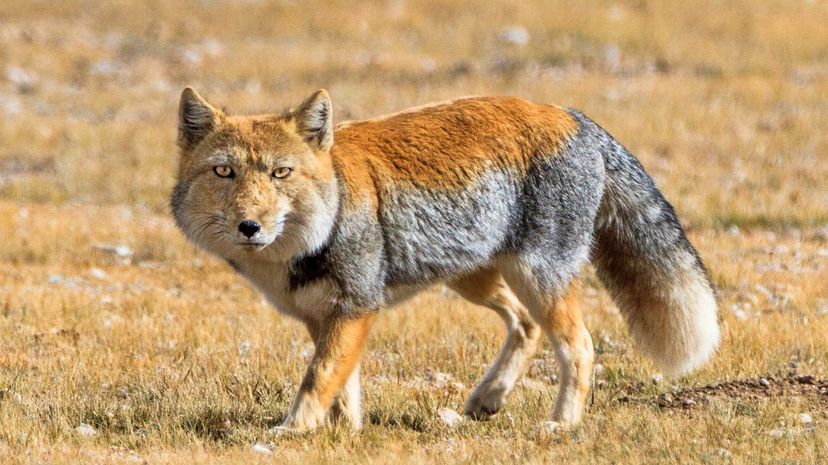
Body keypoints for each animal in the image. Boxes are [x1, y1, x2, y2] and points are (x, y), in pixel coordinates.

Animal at [171, 87, 719, 433]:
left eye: (280, 174)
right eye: (224, 172)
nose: (250, 226)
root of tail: (567, 112)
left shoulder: (356, 307)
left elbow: (318, 378)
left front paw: (293, 432)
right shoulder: (322, 316)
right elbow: (343, 387)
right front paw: (345, 435)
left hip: (536, 279)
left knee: (579, 347)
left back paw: (561, 424)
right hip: (475, 279)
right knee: (524, 326)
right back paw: (486, 399)